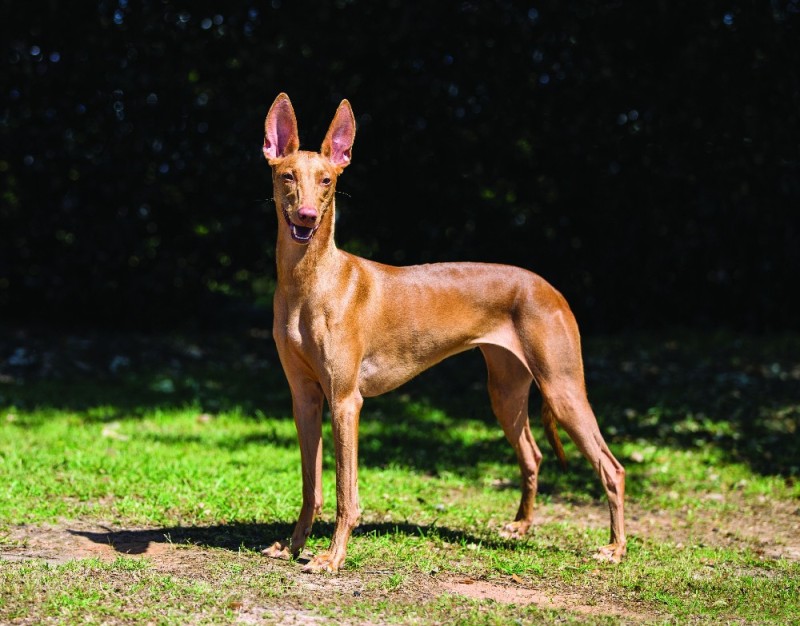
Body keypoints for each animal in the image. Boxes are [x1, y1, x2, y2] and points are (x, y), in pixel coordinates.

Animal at [260, 94, 624, 572]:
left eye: (327, 180)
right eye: (288, 175)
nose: (305, 217)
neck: (311, 280)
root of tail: (549, 287)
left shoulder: (345, 402)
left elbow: (345, 493)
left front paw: (332, 557)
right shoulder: (304, 397)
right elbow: (311, 487)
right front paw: (293, 544)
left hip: (563, 390)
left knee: (611, 467)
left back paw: (615, 548)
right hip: (506, 392)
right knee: (533, 454)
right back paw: (521, 526)